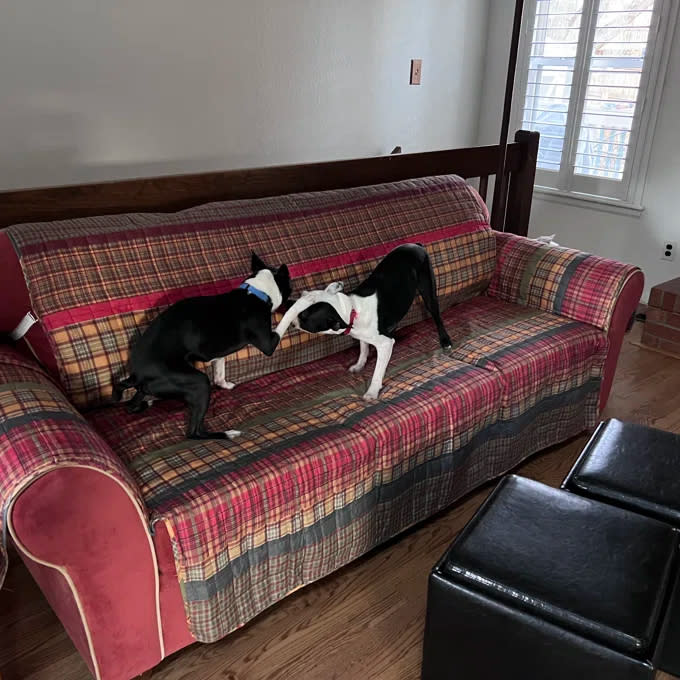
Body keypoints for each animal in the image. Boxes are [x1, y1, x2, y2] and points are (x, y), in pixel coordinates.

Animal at [114, 255, 290, 440]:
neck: (256, 292)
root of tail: (137, 374)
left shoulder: (218, 353)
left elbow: (219, 372)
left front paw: (224, 384)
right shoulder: (268, 344)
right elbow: (287, 317)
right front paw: (300, 303)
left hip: (150, 387)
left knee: (130, 406)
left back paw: (147, 401)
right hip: (199, 383)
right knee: (194, 433)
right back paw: (228, 433)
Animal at [274, 244, 454, 402]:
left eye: (303, 315)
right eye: (302, 295)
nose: (288, 304)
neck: (350, 309)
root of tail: (416, 245)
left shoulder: (385, 344)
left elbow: (377, 371)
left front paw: (372, 392)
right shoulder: (362, 334)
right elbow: (363, 348)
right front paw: (359, 364)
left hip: (428, 290)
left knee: (436, 315)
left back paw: (445, 340)